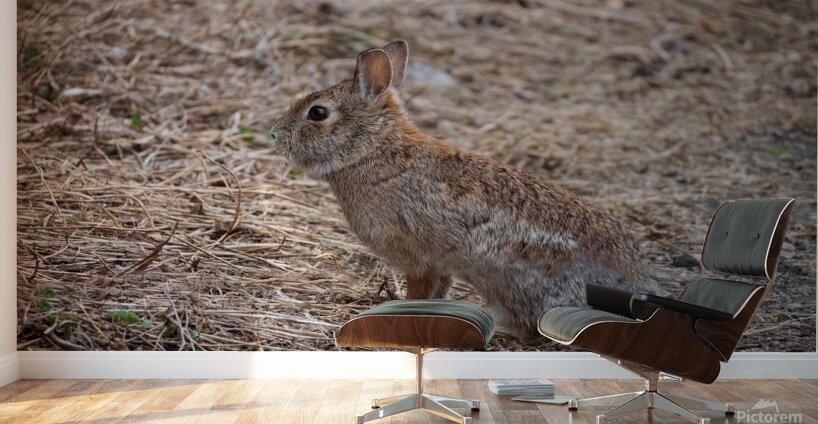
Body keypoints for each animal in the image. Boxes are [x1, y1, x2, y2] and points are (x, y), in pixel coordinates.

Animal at [270, 40, 657, 339]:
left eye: (318, 113)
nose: (275, 134)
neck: (372, 148)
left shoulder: (415, 257)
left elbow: (418, 291)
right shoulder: (441, 266)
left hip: (508, 277)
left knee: (533, 327)